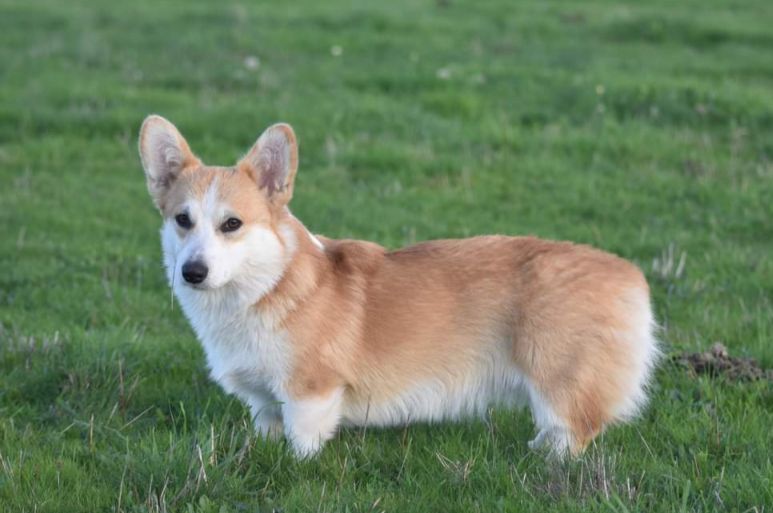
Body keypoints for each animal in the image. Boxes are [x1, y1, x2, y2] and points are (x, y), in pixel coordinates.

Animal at [138, 115, 659, 458]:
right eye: (182, 220)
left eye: (232, 224)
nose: (192, 272)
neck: (264, 286)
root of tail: (628, 275)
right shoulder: (263, 401)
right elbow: (267, 426)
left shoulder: (312, 392)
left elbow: (302, 445)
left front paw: (294, 468)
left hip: (555, 377)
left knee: (572, 432)